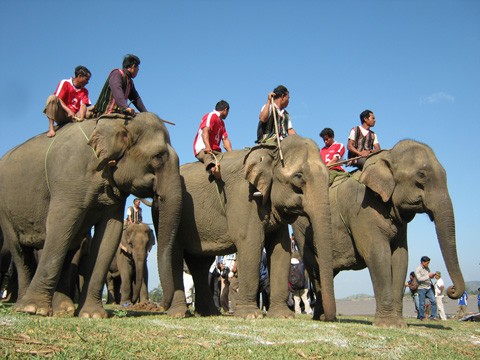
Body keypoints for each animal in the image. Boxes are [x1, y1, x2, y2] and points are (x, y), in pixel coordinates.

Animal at [0, 112, 182, 318]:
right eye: (158, 157)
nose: (160, 307)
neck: (118, 123)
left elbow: (110, 234)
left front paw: (92, 315)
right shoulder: (70, 176)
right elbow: (60, 223)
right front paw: (36, 309)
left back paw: (64, 309)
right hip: (5, 208)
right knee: (20, 250)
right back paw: (24, 306)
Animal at [163, 136, 336, 320]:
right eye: (298, 176)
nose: (324, 317)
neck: (271, 151)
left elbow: (280, 248)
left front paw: (283, 316)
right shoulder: (243, 196)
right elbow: (250, 241)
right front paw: (250, 315)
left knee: (200, 264)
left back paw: (209, 313)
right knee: (175, 254)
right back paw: (179, 313)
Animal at [292, 139, 464, 328]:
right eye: (421, 175)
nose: (452, 290)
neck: (387, 156)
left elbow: (400, 257)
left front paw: (399, 324)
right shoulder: (361, 210)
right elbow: (378, 254)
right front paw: (388, 324)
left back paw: (322, 317)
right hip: (301, 231)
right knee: (314, 269)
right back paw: (321, 317)